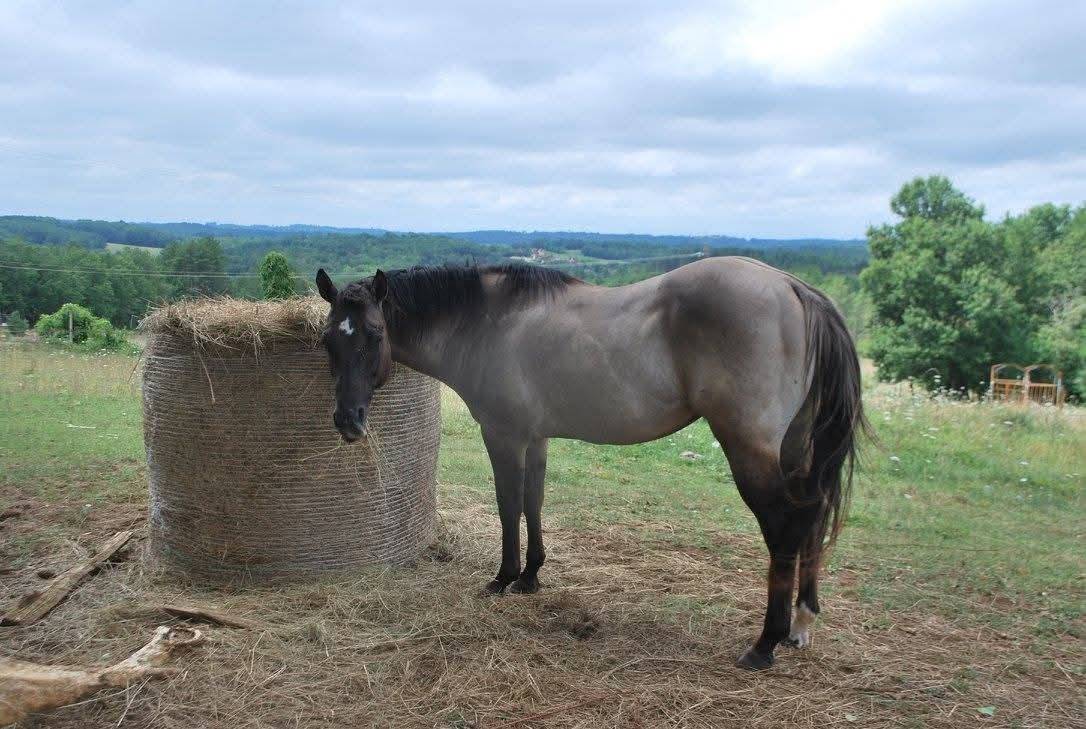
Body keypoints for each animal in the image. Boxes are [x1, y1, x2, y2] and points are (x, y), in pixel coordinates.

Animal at [314, 257, 865, 670]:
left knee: (785, 526)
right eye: (328, 340)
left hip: (751, 450)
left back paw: (766, 642)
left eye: (374, 335)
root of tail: (794, 288)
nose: (348, 421)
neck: (488, 323)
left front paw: (503, 578)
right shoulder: (535, 438)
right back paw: (801, 624)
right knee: (812, 514)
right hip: (796, 449)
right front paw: (531, 576)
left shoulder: (503, 435)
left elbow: (508, 506)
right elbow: (533, 503)